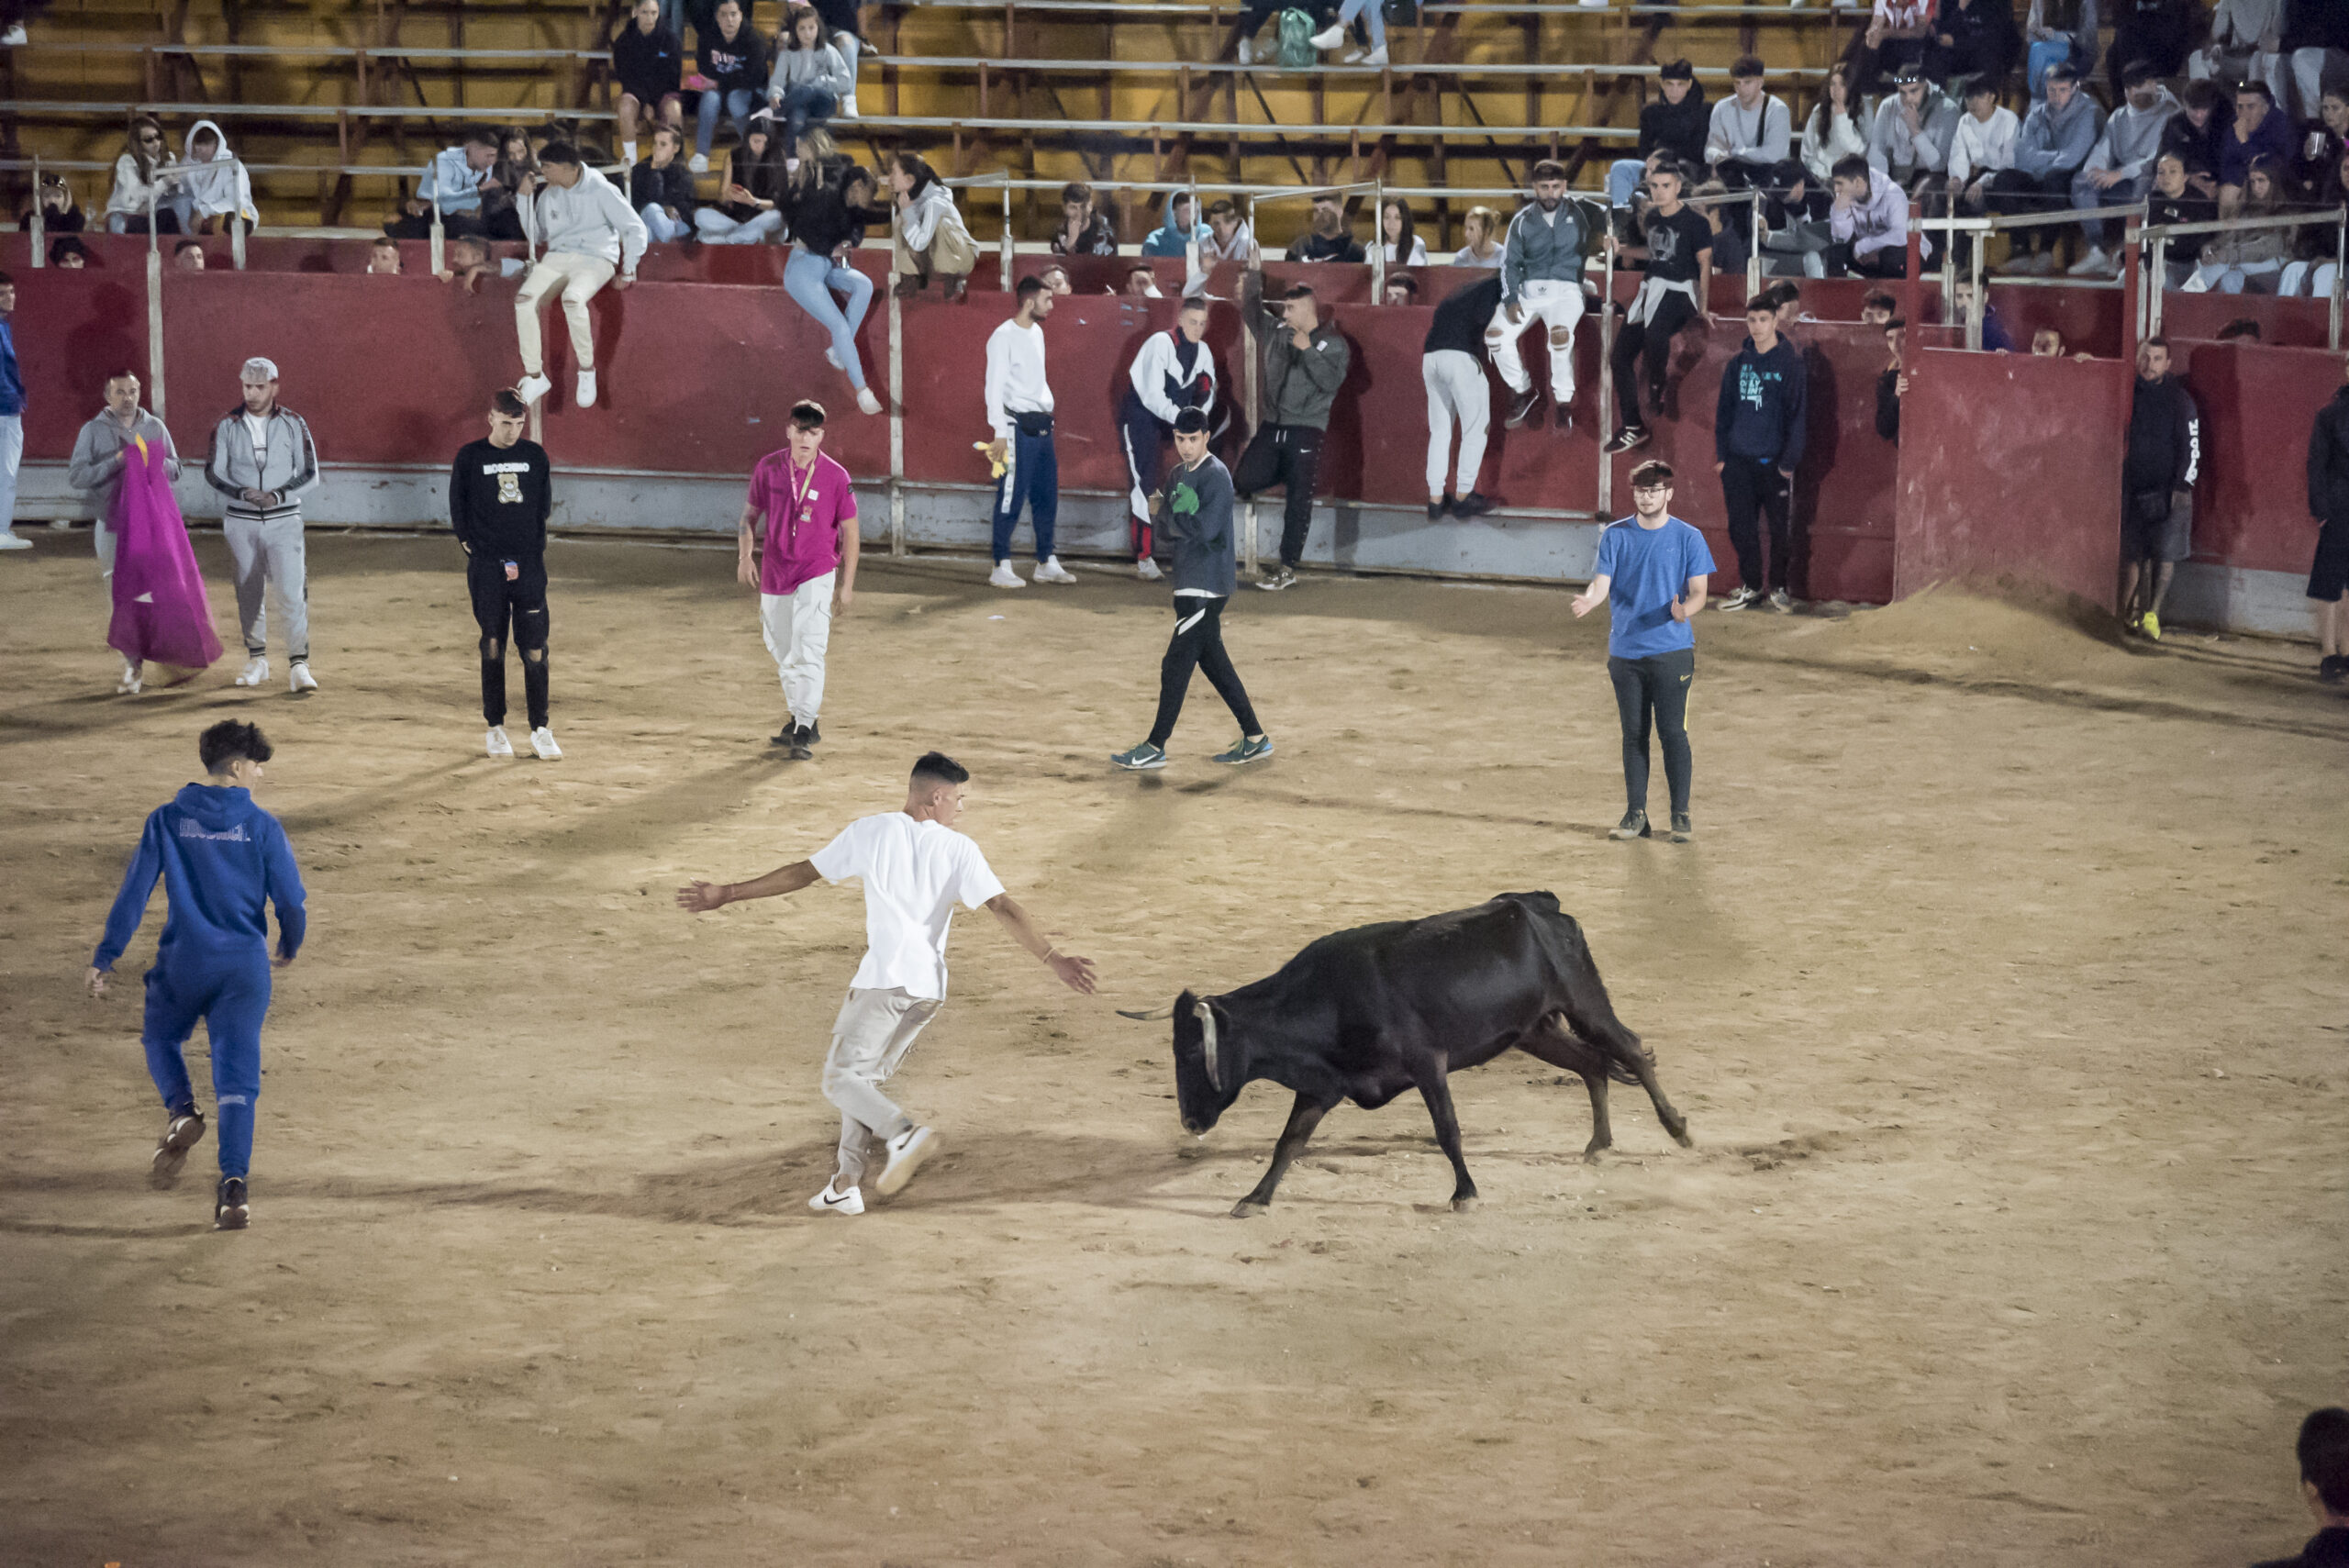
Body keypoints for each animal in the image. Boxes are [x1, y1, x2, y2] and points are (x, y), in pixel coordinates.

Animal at [1118, 892, 1691, 1211]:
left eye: (1193, 1054)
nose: (1190, 1121)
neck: (1327, 999)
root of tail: (1542, 905)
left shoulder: (1427, 1064)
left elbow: (1447, 1130)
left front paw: (1465, 1194)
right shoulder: (1321, 1086)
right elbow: (1289, 1143)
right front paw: (1255, 1199)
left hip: (1584, 1001)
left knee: (1632, 1051)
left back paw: (1678, 1130)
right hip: (1534, 1031)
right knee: (1592, 1064)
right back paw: (1598, 1144)